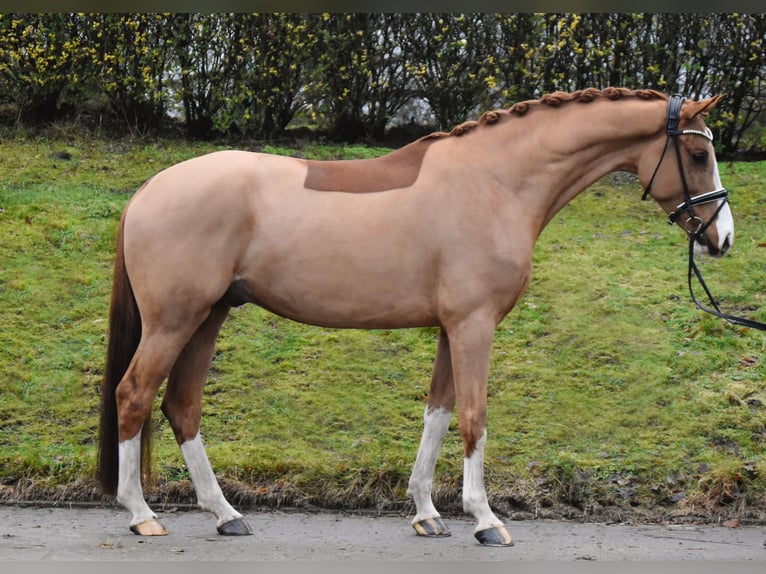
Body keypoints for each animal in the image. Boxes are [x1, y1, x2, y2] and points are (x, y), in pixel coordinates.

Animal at [99, 88, 736, 548]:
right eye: (698, 155)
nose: (722, 240)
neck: (495, 181)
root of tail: (149, 190)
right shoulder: (474, 325)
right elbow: (475, 416)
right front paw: (485, 519)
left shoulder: (452, 330)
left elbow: (438, 412)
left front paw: (428, 513)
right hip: (175, 321)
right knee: (133, 395)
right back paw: (141, 514)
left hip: (207, 318)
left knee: (181, 406)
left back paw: (225, 513)